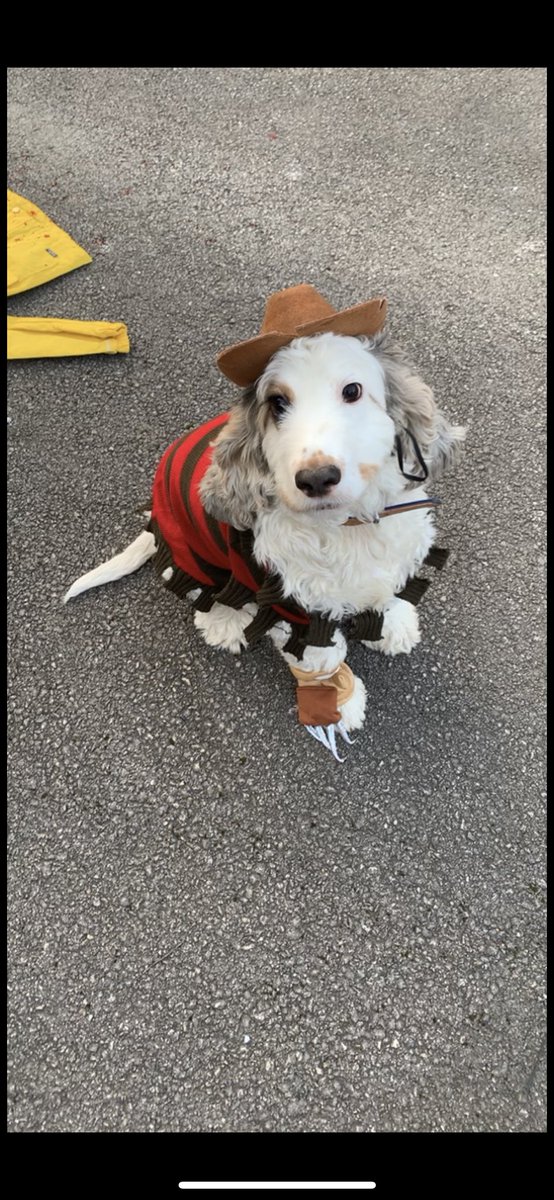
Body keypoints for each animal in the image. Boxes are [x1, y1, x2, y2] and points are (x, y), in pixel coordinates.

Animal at [62, 286, 465, 758]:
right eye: (277, 403)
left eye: (352, 390)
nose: (316, 478)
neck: (349, 527)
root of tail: (155, 516)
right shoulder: (294, 606)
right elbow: (321, 658)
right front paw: (337, 705)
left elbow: (387, 591)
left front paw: (395, 624)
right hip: (196, 553)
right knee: (203, 593)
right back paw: (225, 623)